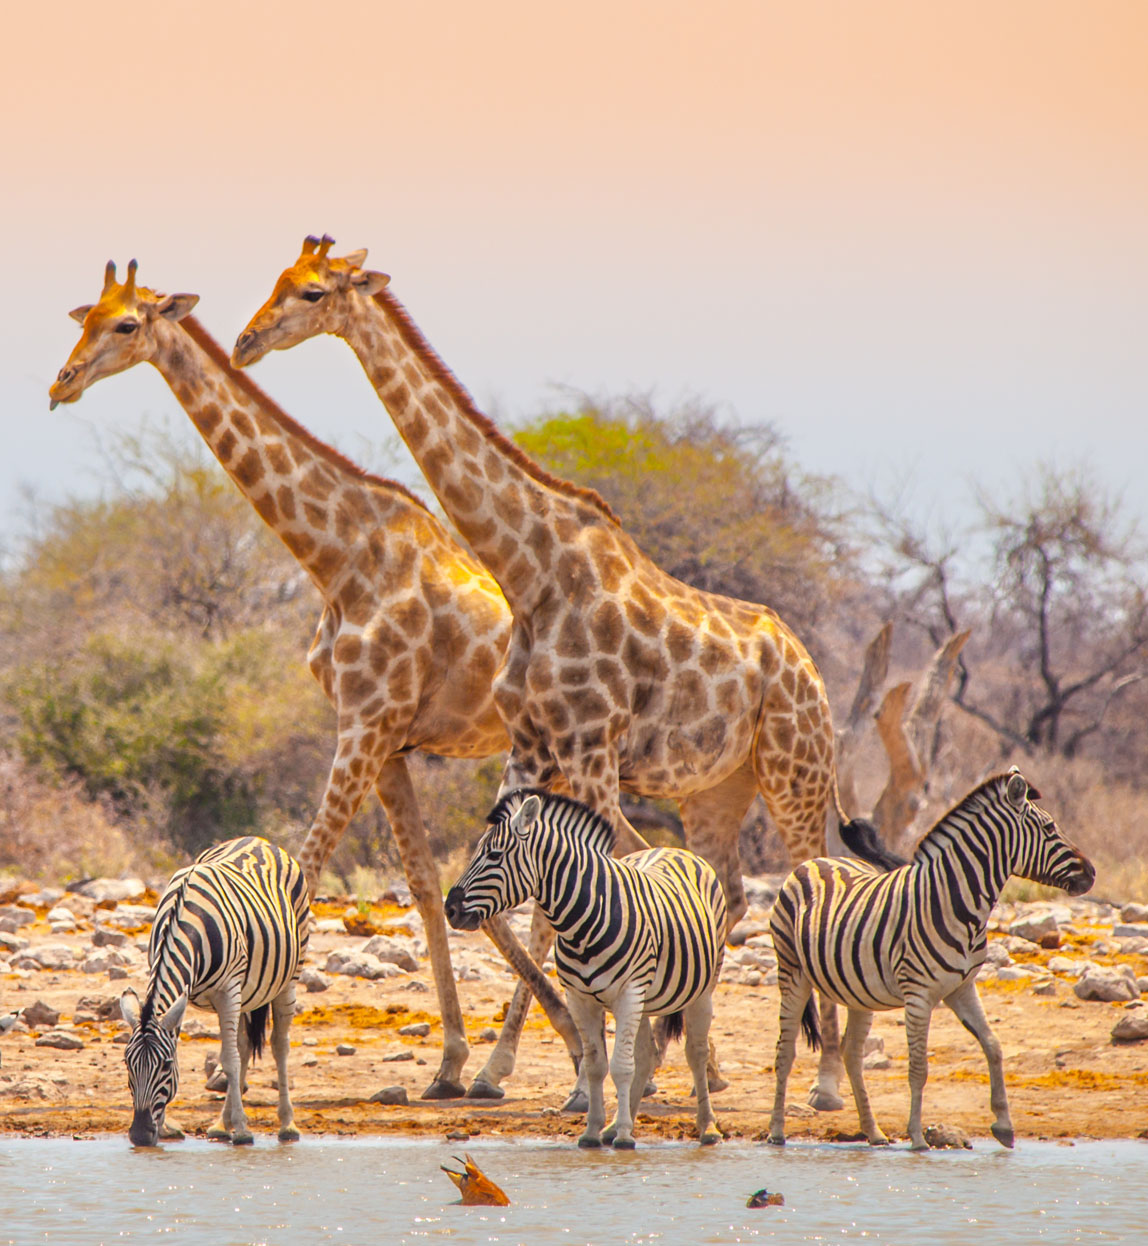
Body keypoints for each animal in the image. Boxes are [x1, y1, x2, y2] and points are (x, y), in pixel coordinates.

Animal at [48, 257, 585, 1099]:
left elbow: (305, 869)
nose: (61, 382)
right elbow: (421, 886)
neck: (340, 556)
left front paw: (228, 1059)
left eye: (127, 324)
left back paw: (533, 1064)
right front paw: (448, 1061)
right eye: (86, 319)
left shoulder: (364, 724)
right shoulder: (387, 742)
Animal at [120, 836, 310, 1146]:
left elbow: (229, 1061)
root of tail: (258, 840)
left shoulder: (227, 989)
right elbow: (227, 1054)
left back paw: (287, 1125)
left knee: (278, 1045)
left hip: (288, 976)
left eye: (166, 1065)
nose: (140, 1135)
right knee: (244, 1045)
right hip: (247, 991)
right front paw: (167, 1127)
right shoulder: (181, 989)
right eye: (128, 1064)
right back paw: (222, 1124)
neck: (185, 920)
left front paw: (243, 1130)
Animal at [233, 236, 903, 1108]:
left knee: (809, 880)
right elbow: (526, 898)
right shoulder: (536, 747)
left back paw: (818, 1080)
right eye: (276, 281)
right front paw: (578, 1067)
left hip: (796, 774)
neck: (532, 568)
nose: (245, 342)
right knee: (723, 890)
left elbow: (584, 895)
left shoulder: (587, 751)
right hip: (716, 790)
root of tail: (808, 666)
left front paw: (590, 1066)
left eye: (312, 293)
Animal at [444, 789, 728, 1149]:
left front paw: (624, 1138)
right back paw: (617, 1126)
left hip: (701, 988)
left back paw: (707, 1128)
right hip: (646, 997)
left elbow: (621, 1067)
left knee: (695, 1053)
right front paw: (594, 1132)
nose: (449, 909)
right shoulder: (580, 998)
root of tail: (674, 849)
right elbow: (596, 1065)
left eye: (494, 855)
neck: (582, 922)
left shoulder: (628, 992)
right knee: (646, 1054)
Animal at [767, 767, 1094, 1151]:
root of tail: (816, 860)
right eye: (1049, 828)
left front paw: (1003, 1125)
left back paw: (874, 1133)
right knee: (785, 1052)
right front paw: (916, 1137)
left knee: (851, 1054)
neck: (958, 904)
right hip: (792, 972)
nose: (1092, 873)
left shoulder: (963, 987)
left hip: (858, 991)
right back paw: (776, 1132)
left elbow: (994, 1046)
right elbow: (919, 1067)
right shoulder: (919, 993)